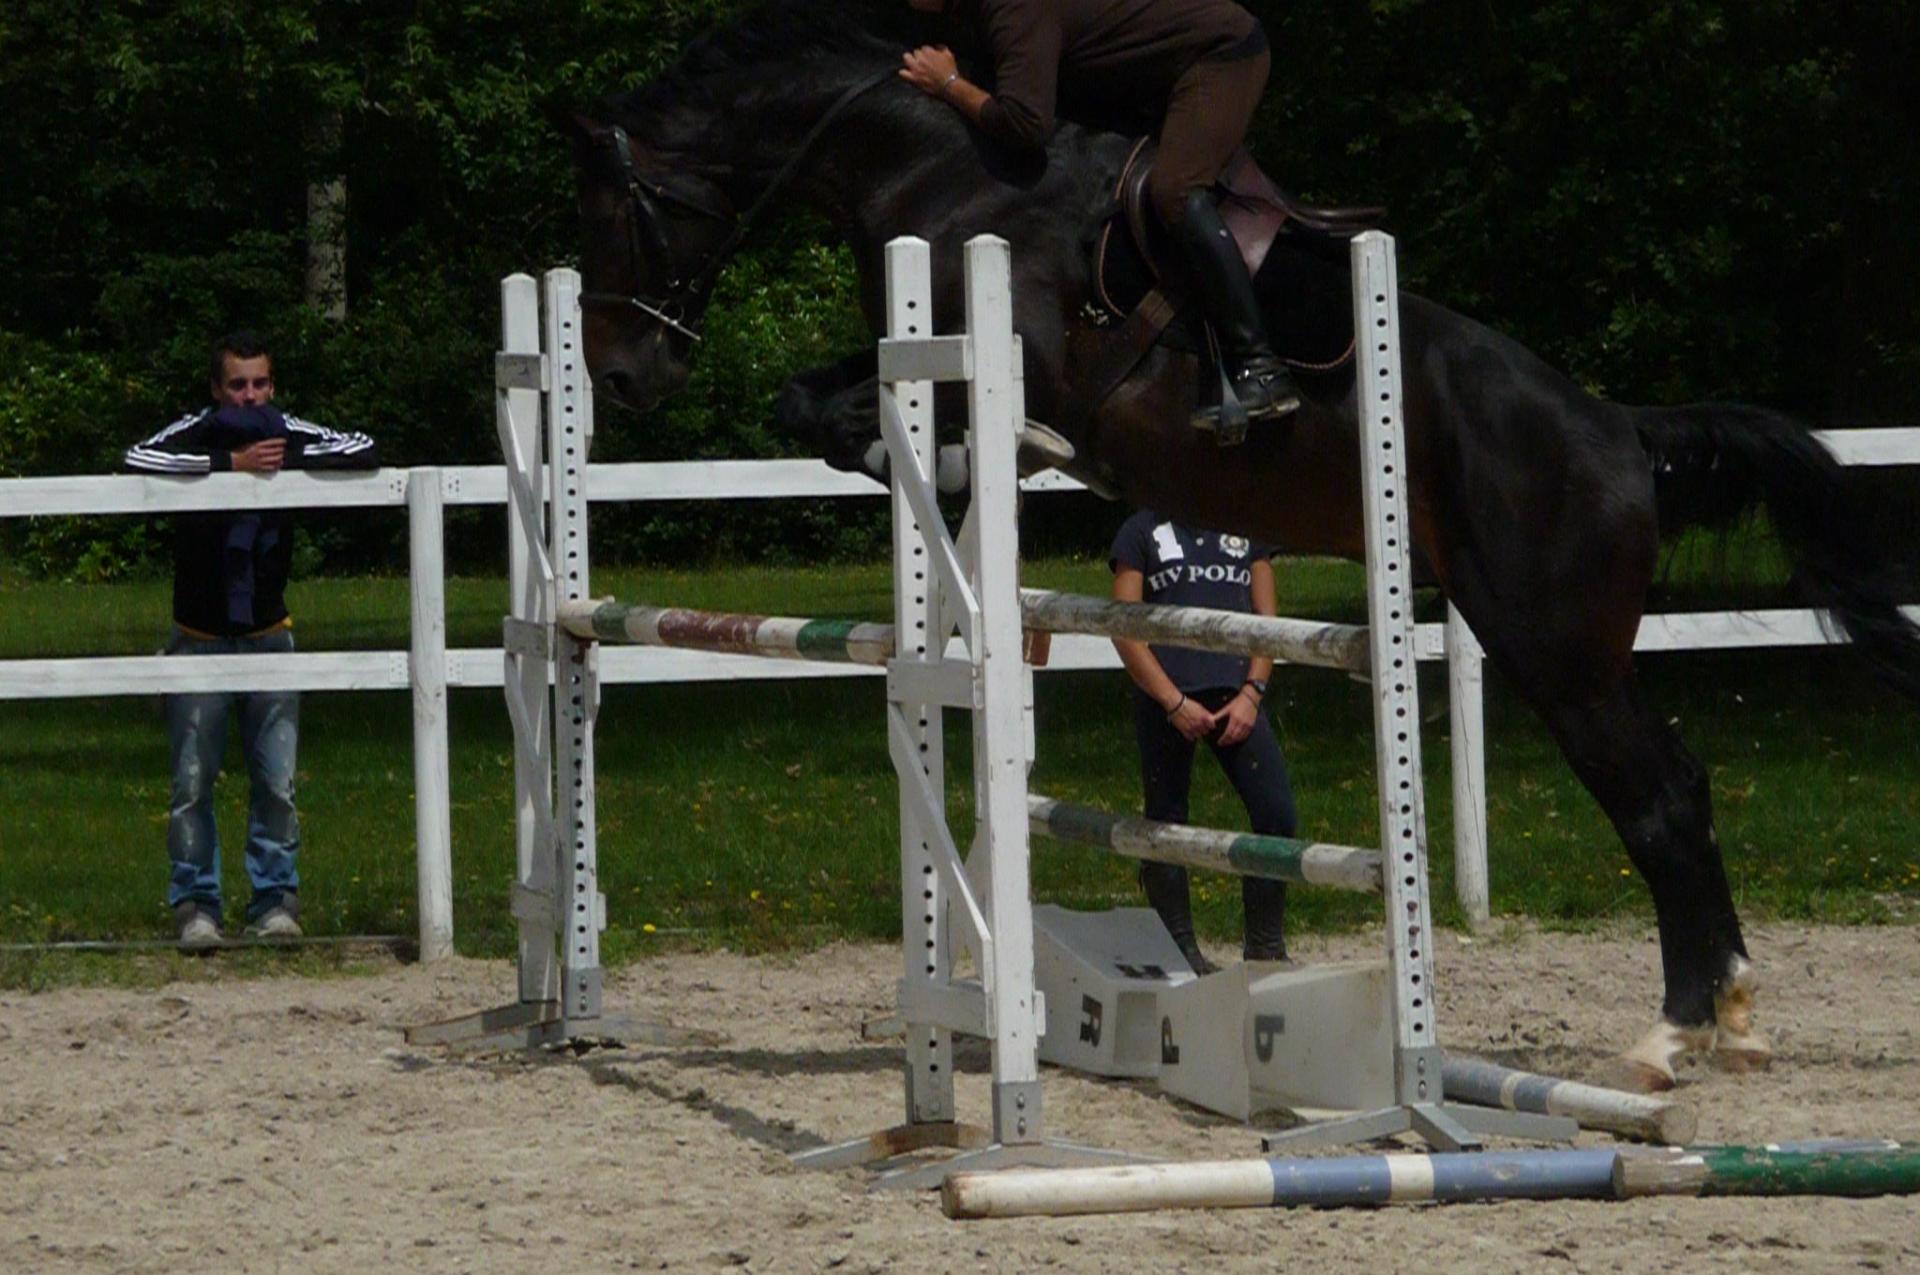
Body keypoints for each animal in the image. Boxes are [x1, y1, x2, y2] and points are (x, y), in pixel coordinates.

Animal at [556, 4, 1920, 1090]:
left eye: (621, 211)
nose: (620, 378)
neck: (948, 173)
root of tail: (1623, 433)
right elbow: (813, 403)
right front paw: (903, 463)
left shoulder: (1014, 351)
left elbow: (909, 412)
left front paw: (940, 457)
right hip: (1548, 635)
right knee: (1675, 789)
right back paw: (1730, 1018)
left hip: (1556, 643)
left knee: (1660, 800)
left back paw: (1674, 1032)